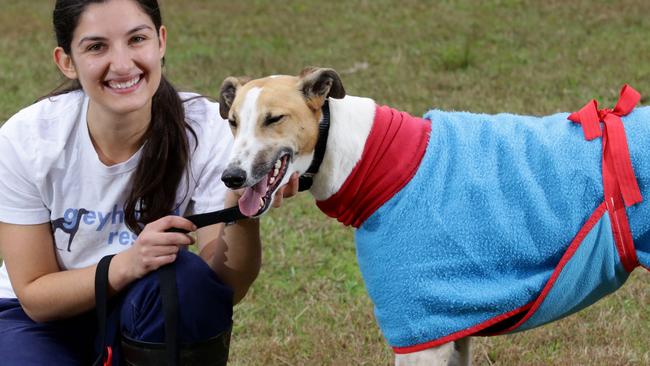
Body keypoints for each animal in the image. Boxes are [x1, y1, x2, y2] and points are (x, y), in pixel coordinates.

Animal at [218, 67, 648, 364]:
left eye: (274, 118)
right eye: (233, 121)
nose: (231, 177)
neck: (367, 155)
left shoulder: (421, 332)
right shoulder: (451, 326)